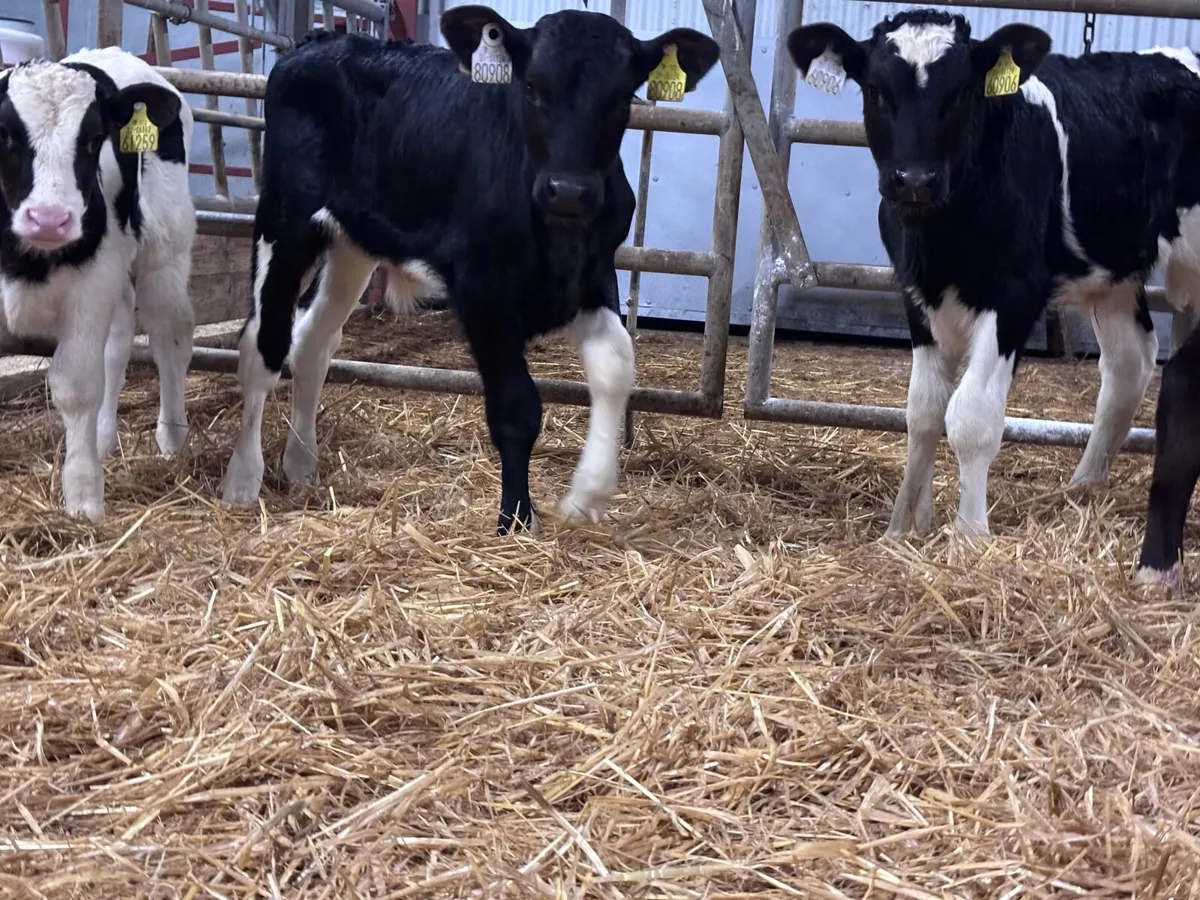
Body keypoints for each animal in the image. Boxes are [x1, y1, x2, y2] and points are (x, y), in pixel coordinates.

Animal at [0, 47, 196, 523]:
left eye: (93, 140)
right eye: (5, 134)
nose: (49, 219)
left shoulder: (89, 287)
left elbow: (76, 387)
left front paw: (83, 498)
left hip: (164, 251)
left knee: (169, 338)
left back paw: (171, 437)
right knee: (118, 346)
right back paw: (103, 440)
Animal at [219, 6, 721, 534]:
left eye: (623, 96)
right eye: (530, 87)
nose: (568, 190)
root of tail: (317, 42)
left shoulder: (590, 275)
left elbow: (616, 366)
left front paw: (588, 493)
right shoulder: (482, 289)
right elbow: (517, 407)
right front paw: (515, 519)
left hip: (353, 242)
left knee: (313, 343)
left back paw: (301, 465)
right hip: (285, 218)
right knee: (263, 343)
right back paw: (243, 480)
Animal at [787, 9, 1200, 555]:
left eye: (963, 90)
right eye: (874, 89)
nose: (914, 179)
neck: (941, 242)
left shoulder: (1016, 294)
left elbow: (972, 415)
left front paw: (969, 538)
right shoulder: (915, 294)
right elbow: (922, 412)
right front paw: (903, 528)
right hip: (1113, 273)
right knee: (1129, 363)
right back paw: (1083, 489)